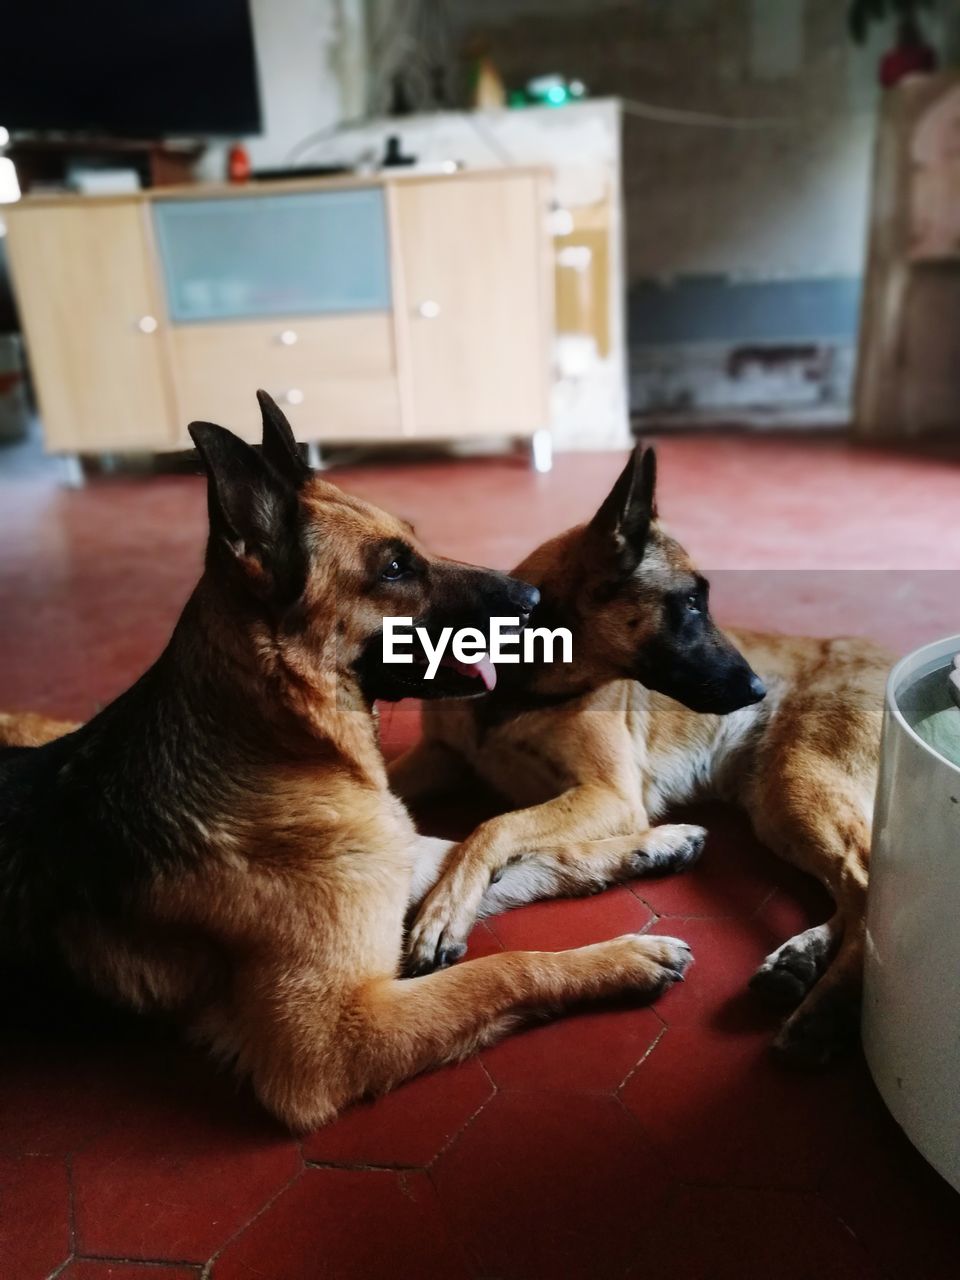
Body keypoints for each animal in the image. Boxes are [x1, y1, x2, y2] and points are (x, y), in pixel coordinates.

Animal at [0, 394, 701, 1126]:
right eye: (393, 569)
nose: (536, 605)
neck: (294, 744)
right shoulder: (332, 1037)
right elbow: (502, 967)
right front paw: (617, 961)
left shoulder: (402, 861)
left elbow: (511, 854)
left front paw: (648, 848)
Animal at [391, 445, 896, 1064]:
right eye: (691, 603)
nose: (759, 690)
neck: (521, 681)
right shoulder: (439, 757)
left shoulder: (610, 796)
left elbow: (492, 826)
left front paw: (444, 913)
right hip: (781, 806)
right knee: (857, 889)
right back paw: (801, 960)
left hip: (797, 785)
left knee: (867, 881)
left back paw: (827, 1007)